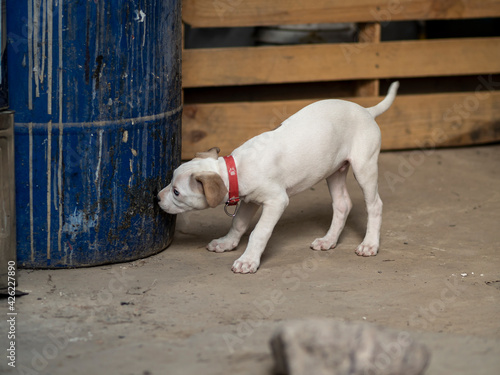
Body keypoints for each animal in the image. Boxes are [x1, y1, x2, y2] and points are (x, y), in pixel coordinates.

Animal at [158, 82, 400, 274]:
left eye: (176, 192)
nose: (157, 198)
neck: (236, 168)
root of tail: (366, 111)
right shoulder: (249, 201)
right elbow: (238, 224)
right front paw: (227, 243)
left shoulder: (276, 201)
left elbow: (259, 232)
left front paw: (248, 260)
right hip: (334, 171)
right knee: (342, 204)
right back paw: (328, 240)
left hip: (364, 166)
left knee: (374, 205)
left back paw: (369, 244)